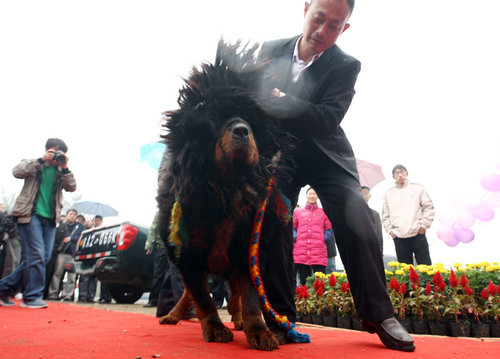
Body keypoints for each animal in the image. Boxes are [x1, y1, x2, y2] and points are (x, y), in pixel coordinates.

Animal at [156, 42, 296, 352]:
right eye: (215, 117)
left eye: (252, 120)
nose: (242, 130)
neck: (225, 187)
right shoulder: (187, 252)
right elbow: (203, 298)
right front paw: (214, 328)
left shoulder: (247, 249)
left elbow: (251, 298)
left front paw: (259, 331)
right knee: (191, 293)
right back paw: (173, 315)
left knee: (234, 297)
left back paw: (240, 321)